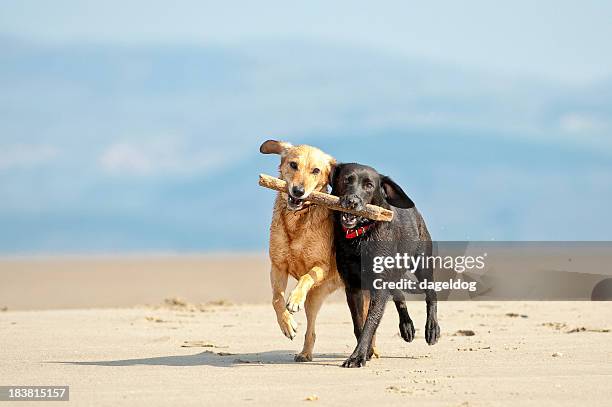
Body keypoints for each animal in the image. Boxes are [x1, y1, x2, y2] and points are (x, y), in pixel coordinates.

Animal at [260, 141, 344, 364]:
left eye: (316, 170)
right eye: (293, 164)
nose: (298, 191)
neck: (296, 220)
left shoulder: (321, 266)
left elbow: (306, 277)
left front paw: (295, 299)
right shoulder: (277, 266)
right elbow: (276, 299)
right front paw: (287, 324)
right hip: (315, 297)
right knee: (311, 331)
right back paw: (305, 353)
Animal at [332, 163, 438, 370]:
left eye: (369, 185)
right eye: (347, 179)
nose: (352, 202)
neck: (360, 237)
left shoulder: (379, 286)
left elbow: (370, 321)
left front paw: (357, 356)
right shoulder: (353, 287)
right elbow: (359, 323)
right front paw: (365, 353)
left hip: (422, 262)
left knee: (431, 294)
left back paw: (432, 329)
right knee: (399, 295)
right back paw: (406, 326)